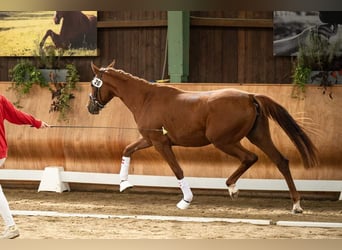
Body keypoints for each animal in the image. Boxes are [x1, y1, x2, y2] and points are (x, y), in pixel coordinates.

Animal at [87, 61, 318, 212]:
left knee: (250, 157)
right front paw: (124, 183)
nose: (90, 107)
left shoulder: (161, 143)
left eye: (93, 84)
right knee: (281, 161)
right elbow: (127, 150)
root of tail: (250, 96)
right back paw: (296, 204)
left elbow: (177, 170)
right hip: (258, 136)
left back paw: (233, 188)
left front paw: (186, 201)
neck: (146, 98)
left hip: (224, 141)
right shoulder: (150, 139)